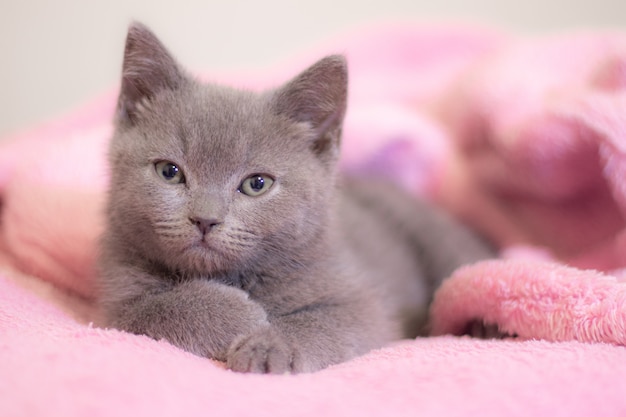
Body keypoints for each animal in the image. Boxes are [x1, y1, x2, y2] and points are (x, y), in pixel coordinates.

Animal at [97, 22, 492, 374]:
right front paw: (237, 316)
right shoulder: (111, 301)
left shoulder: (360, 299)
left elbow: (327, 322)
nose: (205, 219)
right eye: (169, 172)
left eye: (256, 184)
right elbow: (146, 312)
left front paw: (270, 347)